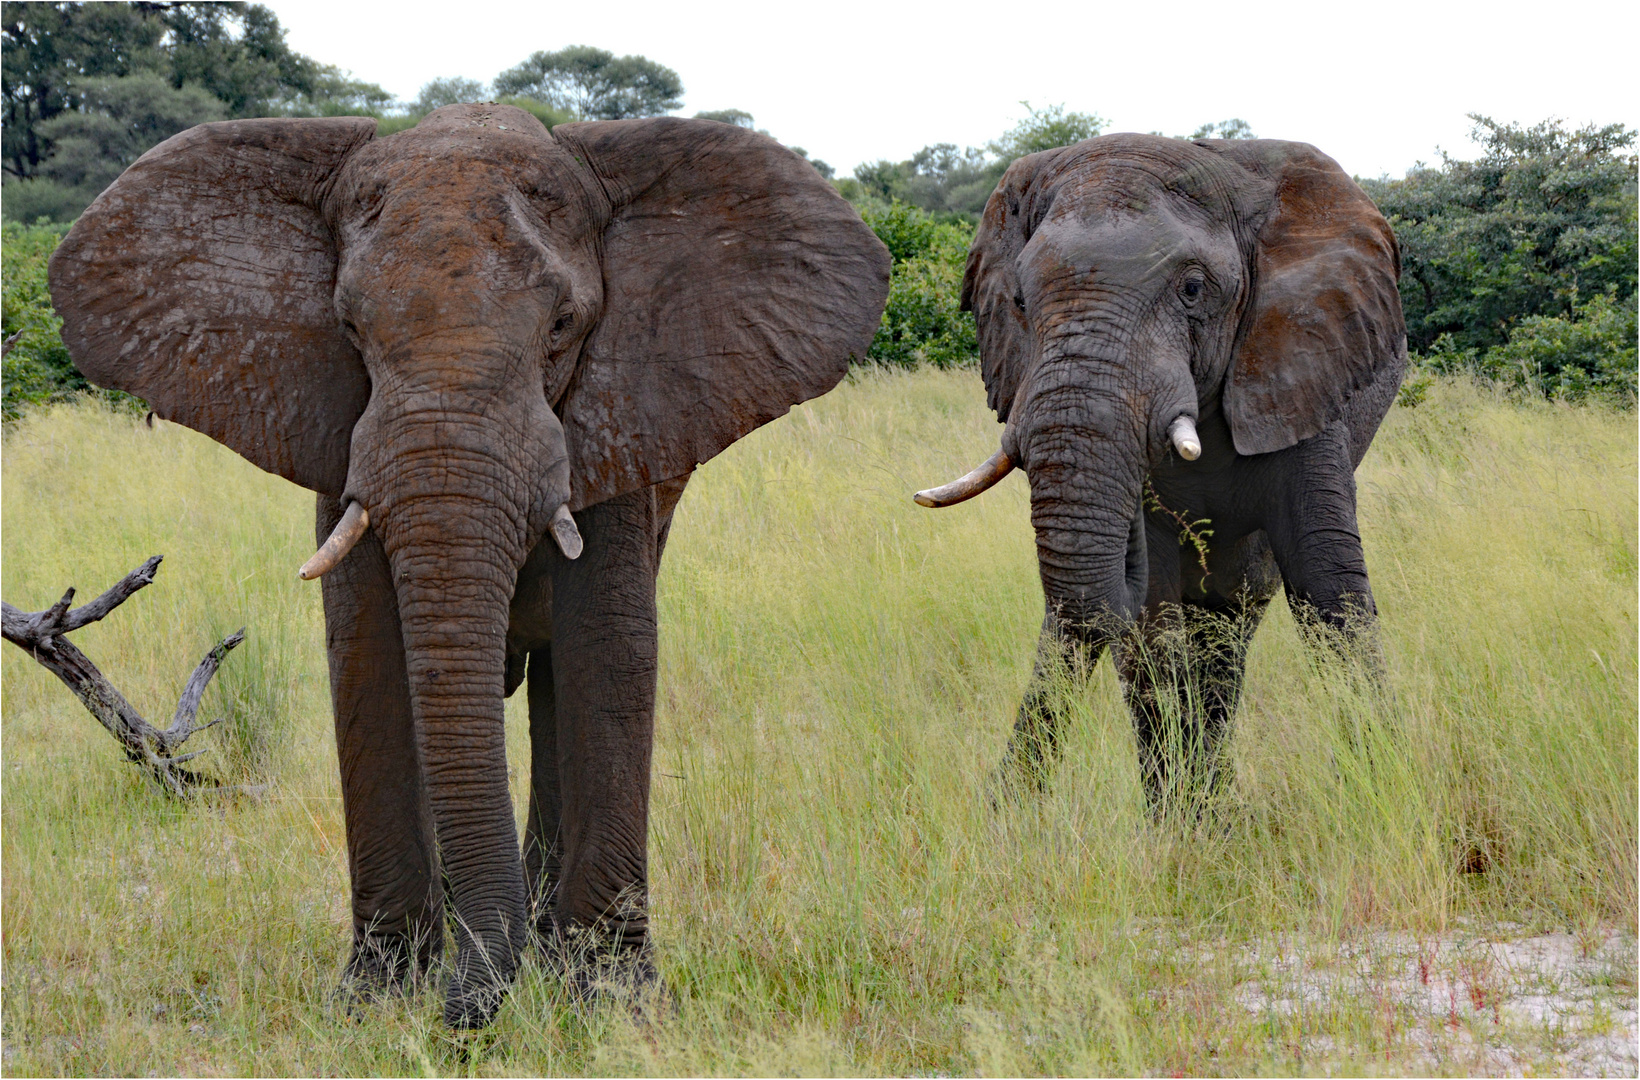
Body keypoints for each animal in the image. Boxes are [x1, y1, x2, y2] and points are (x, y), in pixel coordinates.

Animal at [51, 103, 892, 1029]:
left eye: (562, 329)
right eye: (350, 330)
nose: (463, 1020)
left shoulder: (620, 425)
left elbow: (611, 653)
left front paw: (614, 1004)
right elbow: (367, 656)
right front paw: (378, 1001)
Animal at [918, 131, 1403, 812]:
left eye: (1193, 290)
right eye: (1017, 300)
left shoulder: (1300, 362)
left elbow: (1328, 587)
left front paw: (1386, 789)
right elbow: (1151, 629)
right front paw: (1182, 823)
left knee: (1230, 622)